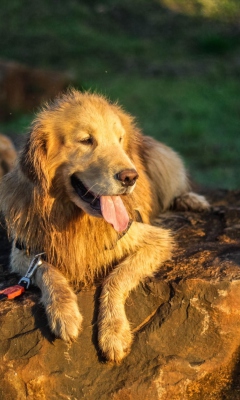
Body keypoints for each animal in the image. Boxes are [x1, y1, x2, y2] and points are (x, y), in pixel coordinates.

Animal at [0, 90, 209, 362]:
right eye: (86, 140)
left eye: (119, 140)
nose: (130, 177)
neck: (74, 217)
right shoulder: (24, 250)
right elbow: (48, 271)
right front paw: (64, 314)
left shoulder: (154, 240)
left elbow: (117, 278)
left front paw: (113, 332)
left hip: (164, 162)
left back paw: (191, 200)